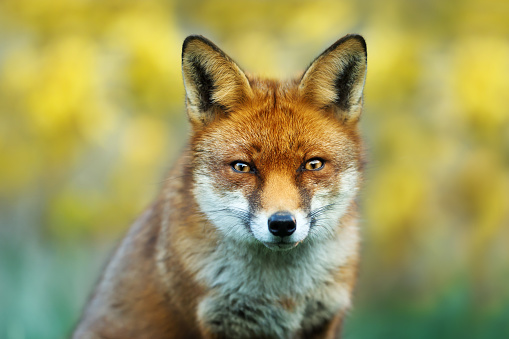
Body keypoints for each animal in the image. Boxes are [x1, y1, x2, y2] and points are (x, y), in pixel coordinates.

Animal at [72, 33, 366, 338]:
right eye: (242, 167)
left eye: (312, 164)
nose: (282, 224)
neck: (282, 296)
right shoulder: (215, 321)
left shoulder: (324, 318)